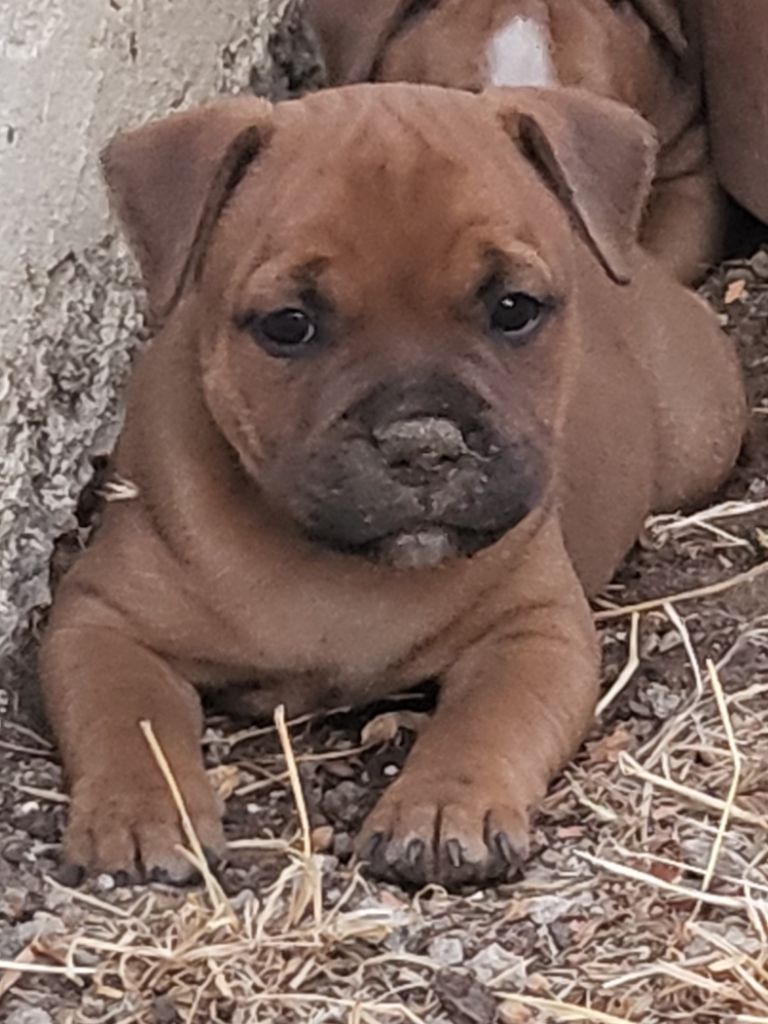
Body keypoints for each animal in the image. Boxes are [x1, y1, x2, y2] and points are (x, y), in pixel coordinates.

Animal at [40, 86, 745, 888]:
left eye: (513, 308)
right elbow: (128, 715)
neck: (338, 567)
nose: (423, 442)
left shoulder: (534, 631)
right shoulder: (99, 620)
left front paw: (441, 810)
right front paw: (137, 813)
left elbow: (485, 720)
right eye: (288, 325)